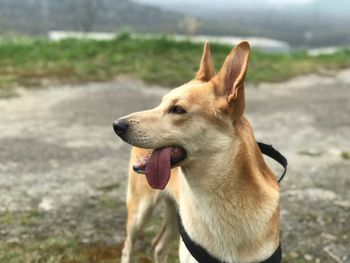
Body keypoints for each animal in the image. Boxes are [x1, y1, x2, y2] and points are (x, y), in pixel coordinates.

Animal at [113, 41, 280, 263]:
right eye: (160, 103)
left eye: (177, 109)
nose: (117, 125)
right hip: (140, 211)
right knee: (127, 246)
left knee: (158, 245)